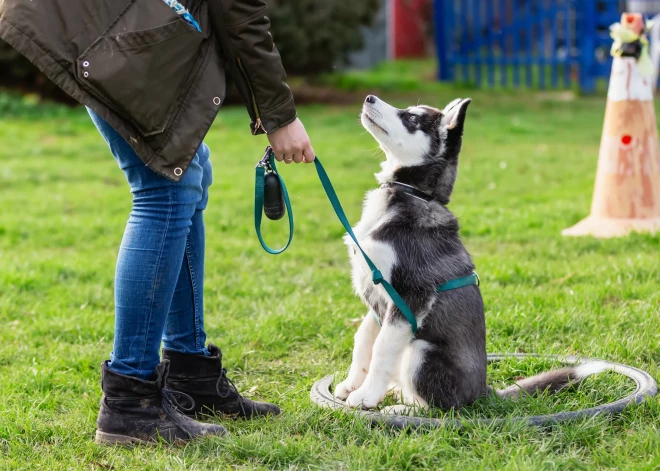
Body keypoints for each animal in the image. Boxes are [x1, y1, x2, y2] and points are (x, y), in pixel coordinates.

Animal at [336, 97, 608, 412]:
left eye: (412, 118)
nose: (369, 98)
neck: (413, 193)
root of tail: (482, 392)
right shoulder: (378, 297)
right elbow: (364, 339)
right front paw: (351, 384)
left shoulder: (411, 296)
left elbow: (381, 347)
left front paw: (366, 396)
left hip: (421, 351)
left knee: (441, 407)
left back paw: (402, 407)